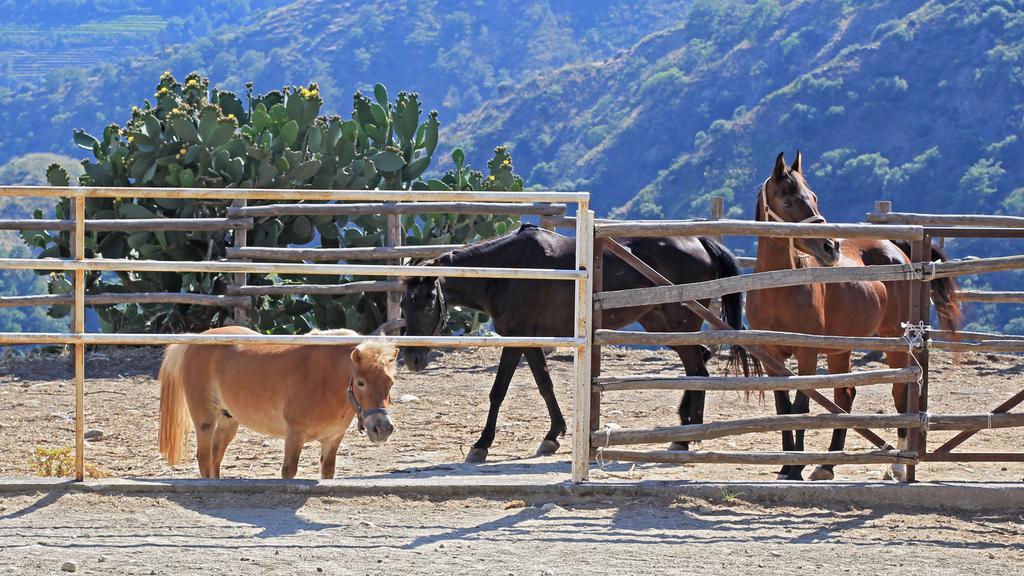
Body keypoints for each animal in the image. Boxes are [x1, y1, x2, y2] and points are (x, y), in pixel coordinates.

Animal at [157, 325, 397, 477]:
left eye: (391, 382)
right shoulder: (295, 436)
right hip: (205, 421)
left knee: (215, 459)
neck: (324, 379)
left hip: (228, 422)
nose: (382, 428)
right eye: (361, 382)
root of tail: (195, 340)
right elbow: (288, 471)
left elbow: (327, 471)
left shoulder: (332, 440)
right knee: (204, 458)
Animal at [403, 223, 757, 461]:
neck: (509, 271)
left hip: (678, 325)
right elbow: (545, 384)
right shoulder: (530, 339)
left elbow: (498, 391)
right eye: (404, 302)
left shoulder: (516, 338)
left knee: (698, 369)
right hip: (661, 326)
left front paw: (481, 445)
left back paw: (684, 439)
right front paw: (552, 435)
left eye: (427, 300)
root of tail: (699, 240)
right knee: (699, 362)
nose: (412, 359)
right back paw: (684, 426)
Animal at [745, 151, 958, 479]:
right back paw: (827, 465)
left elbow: (800, 407)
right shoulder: (771, 356)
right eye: (789, 202)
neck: (778, 287)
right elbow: (783, 409)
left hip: (893, 342)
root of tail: (896, 249)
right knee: (844, 395)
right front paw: (786, 467)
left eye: (814, 198)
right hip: (840, 347)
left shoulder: (807, 354)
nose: (830, 247)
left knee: (899, 393)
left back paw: (897, 466)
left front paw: (795, 469)